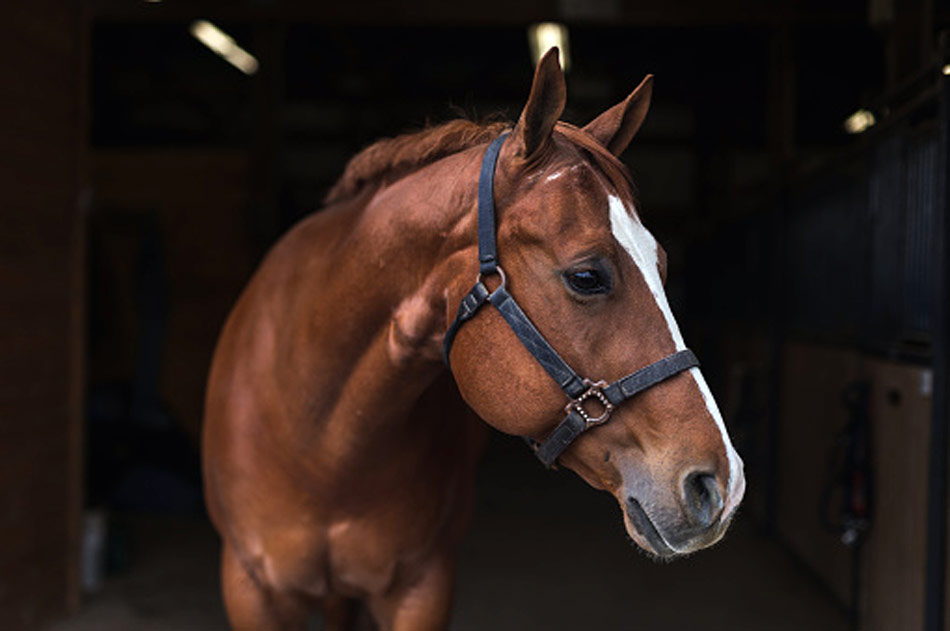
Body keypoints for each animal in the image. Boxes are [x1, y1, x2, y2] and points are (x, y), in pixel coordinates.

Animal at [202, 48, 745, 631]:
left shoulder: (423, 586)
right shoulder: (252, 589)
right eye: (586, 276)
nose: (722, 484)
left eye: (662, 264)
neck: (323, 443)